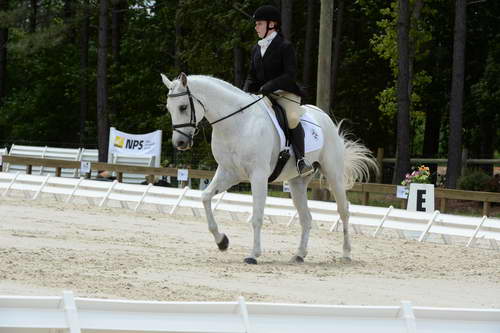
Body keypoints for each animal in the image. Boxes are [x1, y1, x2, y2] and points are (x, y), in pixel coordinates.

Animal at [162, 71, 376, 264]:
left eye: (183, 107)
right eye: (169, 109)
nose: (180, 143)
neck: (237, 123)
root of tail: (325, 117)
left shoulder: (258, 175)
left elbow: (257, 216)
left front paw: (253, 254)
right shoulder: (228, 172)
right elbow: (205, 197)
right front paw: (222, 241)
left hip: (333, 174)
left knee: (343, 211)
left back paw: (346, 254)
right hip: (297, 182)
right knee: (306, 218)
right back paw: (299, 255)